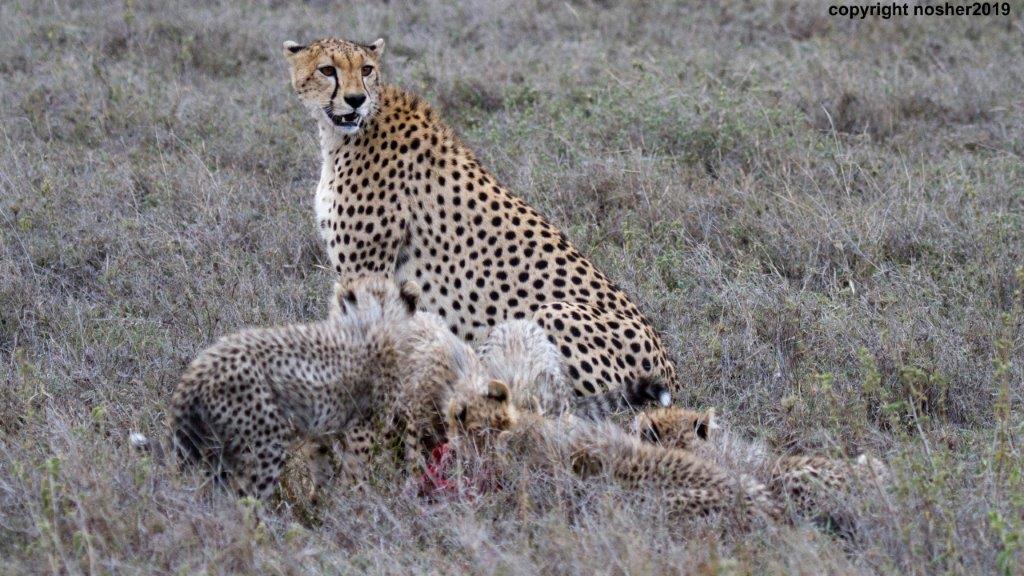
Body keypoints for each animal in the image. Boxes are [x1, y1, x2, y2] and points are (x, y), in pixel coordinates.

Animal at [284, 38, 675, 399]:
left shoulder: (365, 269)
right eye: (327, 70)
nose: (355, 100)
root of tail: (671, 371)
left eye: (366, 69)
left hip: (552, 313)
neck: (347, 134)